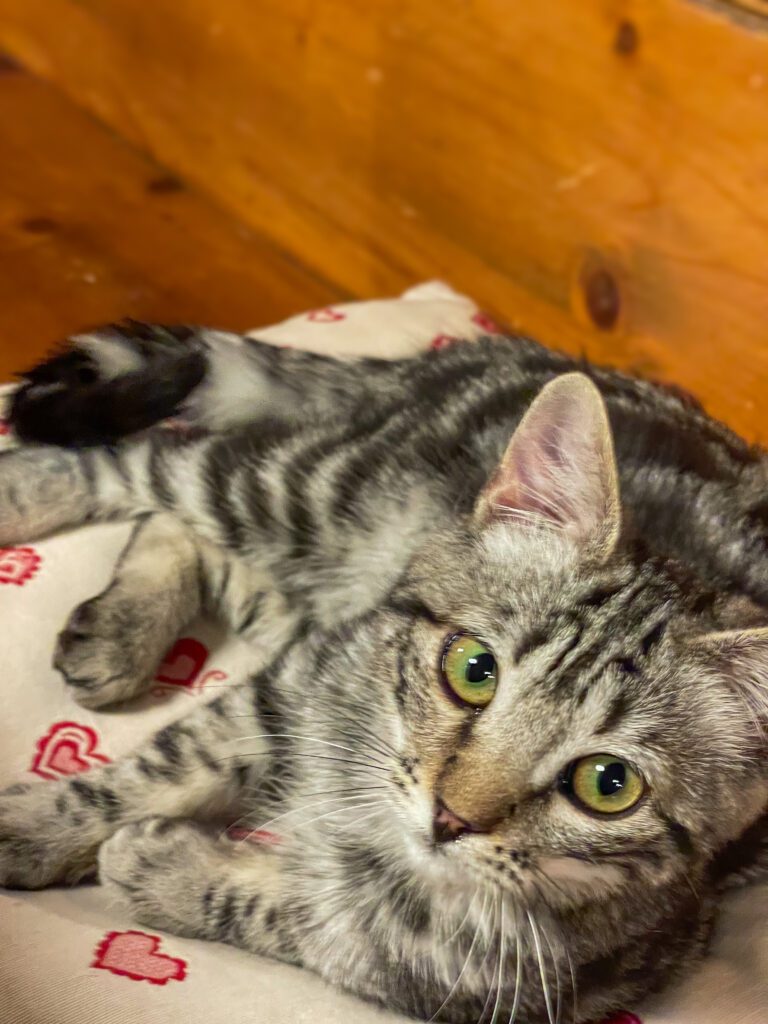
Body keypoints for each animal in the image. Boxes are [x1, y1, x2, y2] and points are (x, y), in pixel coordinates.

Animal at [1, 321, 768, 1024]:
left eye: (608, 785)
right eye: (473, 669)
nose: (451, 817)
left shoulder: (539, 977)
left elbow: (321, 922)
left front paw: (167, 868)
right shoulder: (304, 679)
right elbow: (171, 764)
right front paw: (43, 825)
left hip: (309, 585)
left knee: (186, 527)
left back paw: (120, 630)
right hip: (311, 494)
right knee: (153, 457)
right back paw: (34, 506)